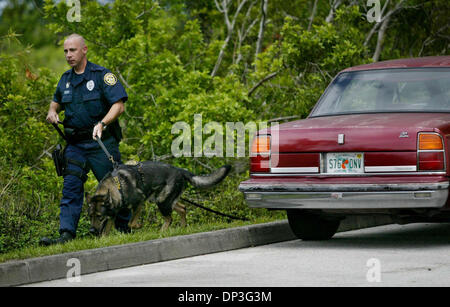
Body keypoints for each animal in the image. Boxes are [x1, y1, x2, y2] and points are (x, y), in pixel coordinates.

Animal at [87, 162, 232, 237]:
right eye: (90, 216)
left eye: (99, 216)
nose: (92, 231)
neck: (117, 187)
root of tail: (180, 170)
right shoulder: (112, 214)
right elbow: (105, 232)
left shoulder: (139, 203)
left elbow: (131, 223)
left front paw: (139, 226)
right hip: (164, 200)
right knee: (182, 208)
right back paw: (182, 228)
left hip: (162, 202)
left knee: (170, 218)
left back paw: (161, 231)